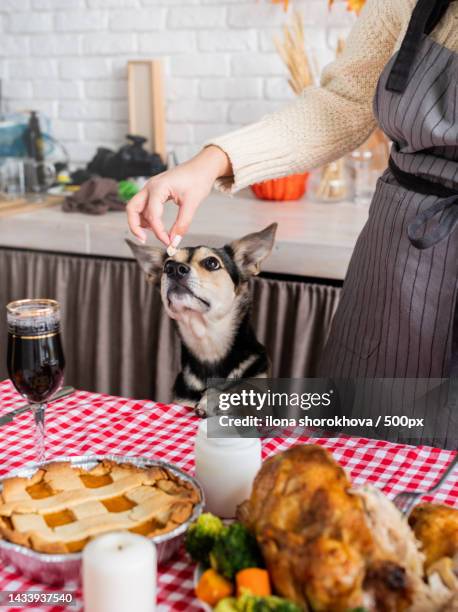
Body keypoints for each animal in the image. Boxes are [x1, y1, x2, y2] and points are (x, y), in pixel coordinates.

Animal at [125, 222, 278, 418]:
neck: (208, 344)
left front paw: (213, 399)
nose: (174, 269)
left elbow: (242, 390)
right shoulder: (182, 400)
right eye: (167, 264)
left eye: (211, 263)